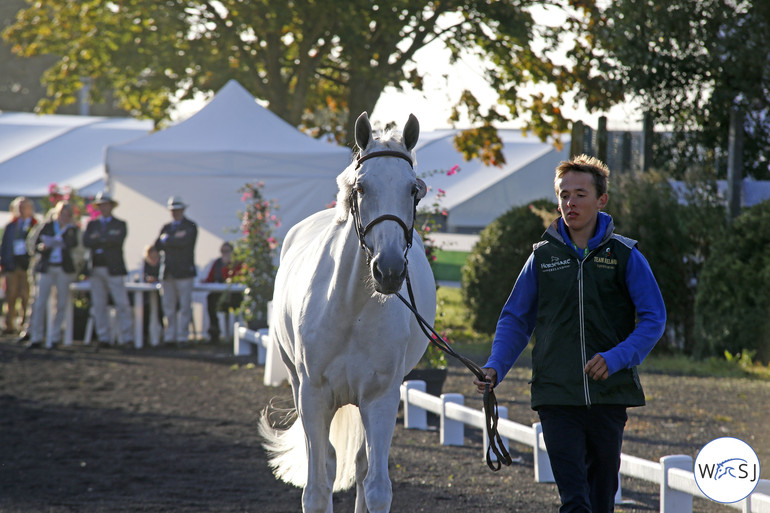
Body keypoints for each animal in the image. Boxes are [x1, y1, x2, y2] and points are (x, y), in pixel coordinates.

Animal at [260, 113, 436, 512]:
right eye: (361, 188)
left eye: (413, 190)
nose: (389, 271)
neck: (351, 309)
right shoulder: (313, 397)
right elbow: (316, 488)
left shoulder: (381, 398)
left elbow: (377, 487)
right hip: (298, 384)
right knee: (327, 462)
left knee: (361, 466)